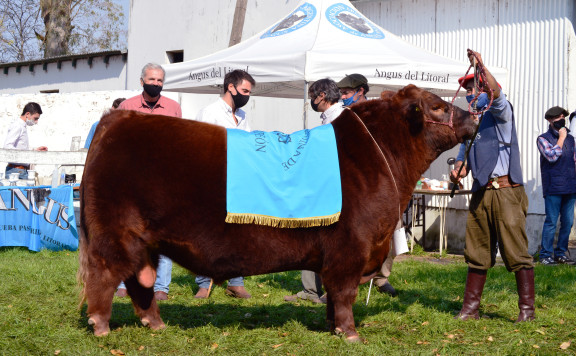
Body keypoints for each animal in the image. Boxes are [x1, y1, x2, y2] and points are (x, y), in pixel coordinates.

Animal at [80, 85, 476, 340]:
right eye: (438, 107)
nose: (473, 114)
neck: (382, 157)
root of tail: (117, 119)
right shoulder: (351, 248)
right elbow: (344, 292)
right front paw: (349, 333)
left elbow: (333, 295)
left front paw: (333, 327)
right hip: (115, 234)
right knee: (104, 275)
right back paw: (101, 326)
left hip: (144, 243)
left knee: (139, 281)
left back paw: (155, 324)